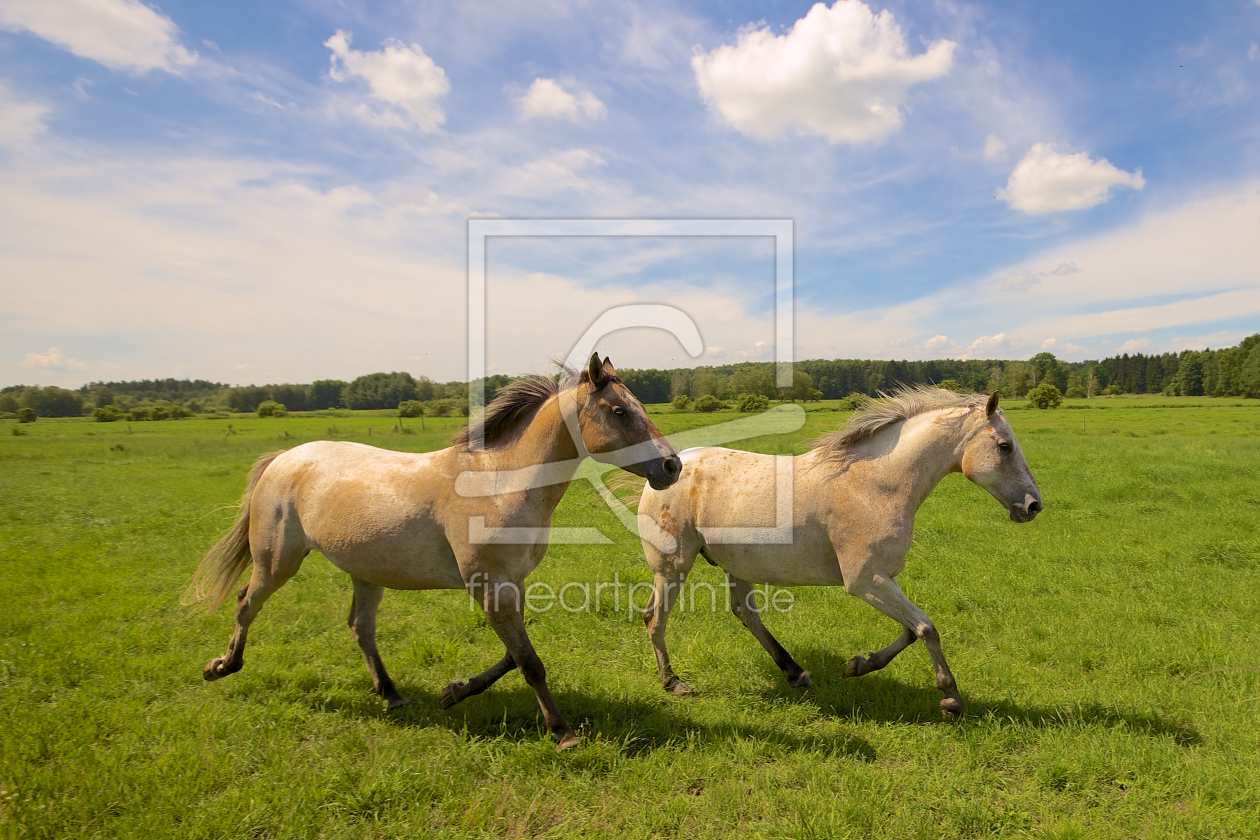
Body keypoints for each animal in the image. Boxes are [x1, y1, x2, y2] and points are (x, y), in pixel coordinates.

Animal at [183, 352, 680, 750]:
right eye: (619, 410)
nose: (672, 465)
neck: (500, 483)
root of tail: (284, 459)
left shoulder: (510, 585)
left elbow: (513, 655)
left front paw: (453, 692)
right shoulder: (489, 586)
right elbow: (529, 662)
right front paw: (563, 732)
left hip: (366, 573)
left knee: (360, 628)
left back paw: (392, 695)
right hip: (276, 563)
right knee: (246, 603)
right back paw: (221, 666)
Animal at [640, 385, 1043, 720]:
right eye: (1005, 446)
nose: (1033, 505)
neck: (876, 483)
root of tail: (669, 467)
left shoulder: (882, 579)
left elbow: (912, 630)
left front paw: (859, 665)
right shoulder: (864, 580)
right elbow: (928, 628)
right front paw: (951, 700)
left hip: (737, 565)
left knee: (744, 614)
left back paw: (796, 674)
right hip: (674, 567)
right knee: (655, 617)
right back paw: (674, 683)